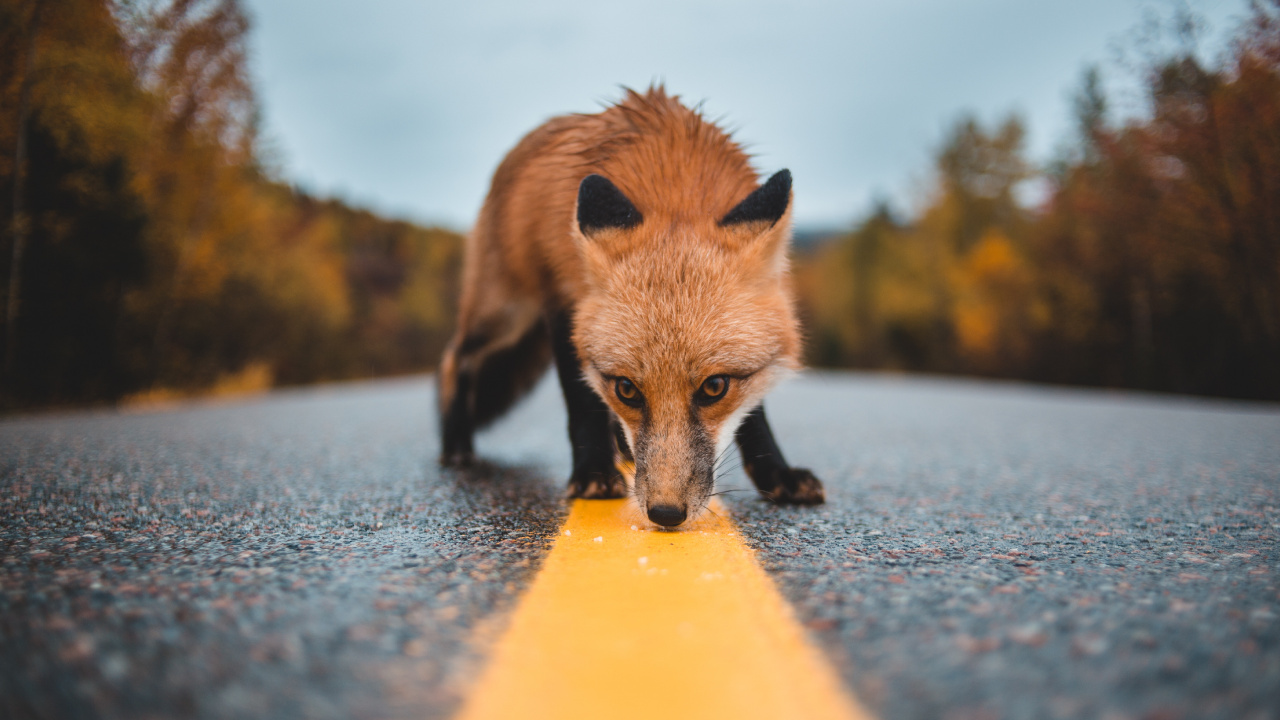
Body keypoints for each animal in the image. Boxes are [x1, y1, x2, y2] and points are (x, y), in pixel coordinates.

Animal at [437, 86, 824, 528]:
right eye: (627, 389)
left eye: (715, 387)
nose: (666, 513)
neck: (675, 183)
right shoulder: (563, 304)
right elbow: (582, 401)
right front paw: (592, 472)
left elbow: (754, 415)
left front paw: (776, 473)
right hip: (505, 313)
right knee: (454, 357)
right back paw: (455, 443)